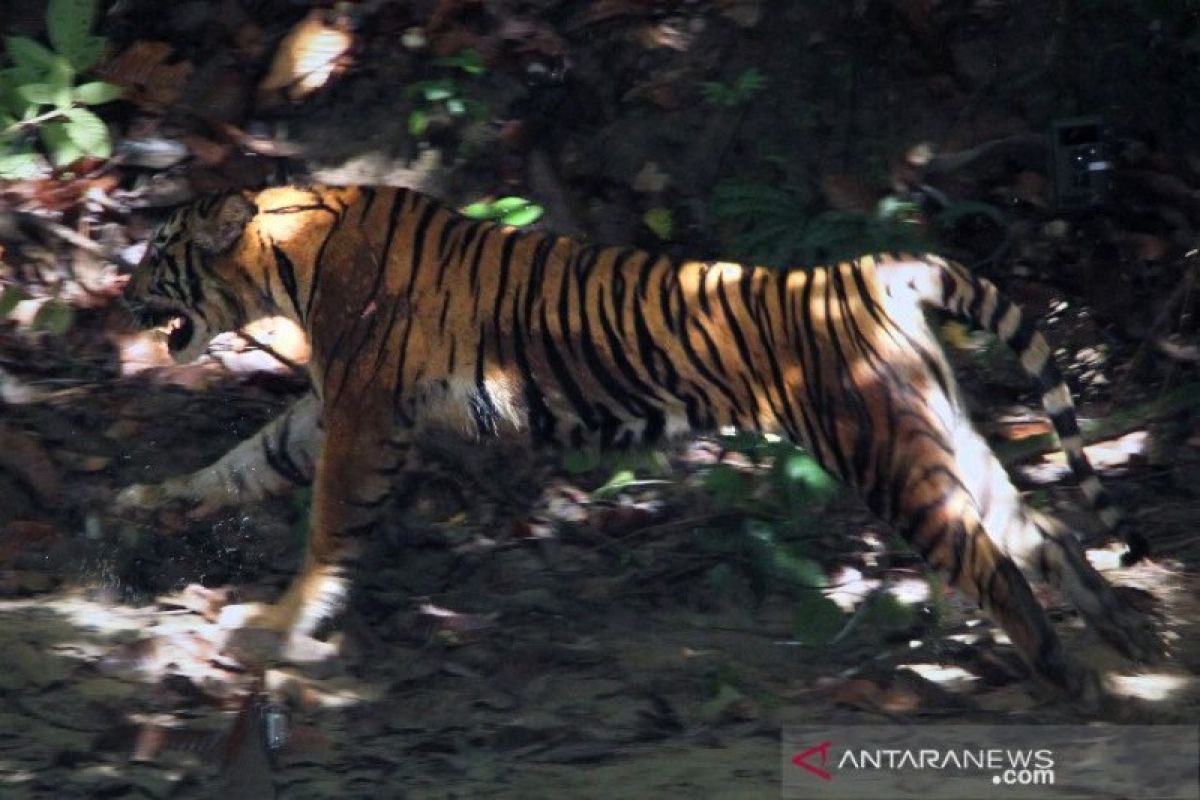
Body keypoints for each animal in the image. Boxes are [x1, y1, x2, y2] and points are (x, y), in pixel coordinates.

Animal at [119, 184, 1152, 695]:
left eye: (158, 256)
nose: (122, 298)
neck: (289, 256)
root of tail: (866, 269)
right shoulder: (335, 405)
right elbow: (245, 463)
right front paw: (143, 504)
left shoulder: (366, 413)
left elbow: (328, 522)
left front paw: (282, 627)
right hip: (940, 432)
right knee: (1043, 529)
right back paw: (1120, 631)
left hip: (887, 455)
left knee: (994, 561)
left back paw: (1061, 673)